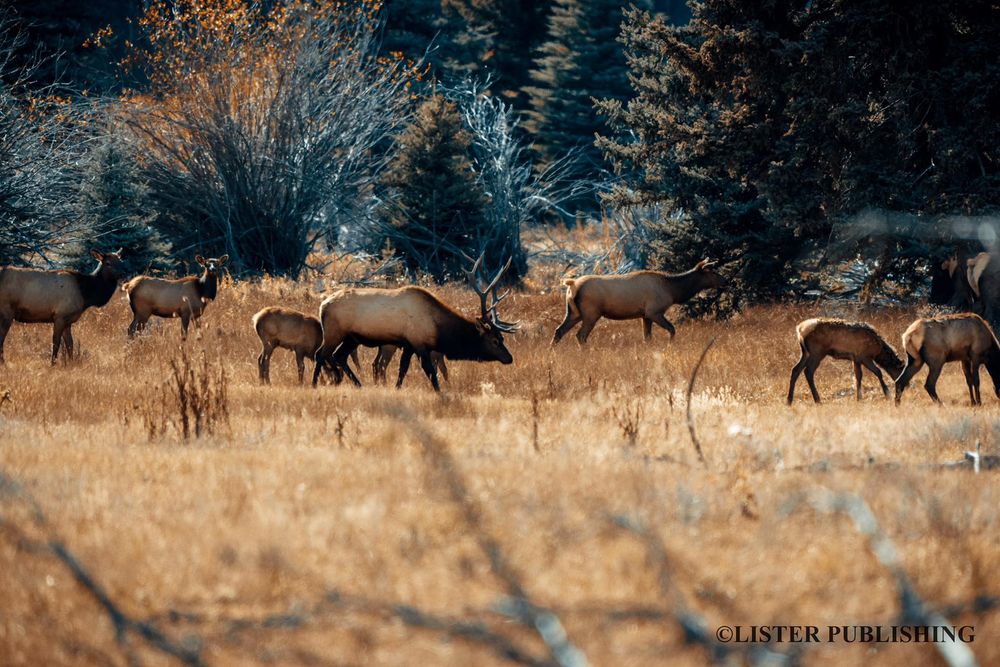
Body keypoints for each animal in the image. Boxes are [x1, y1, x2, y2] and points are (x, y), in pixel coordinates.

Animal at [312, 255, 518, 391]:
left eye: (502, 338)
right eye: (494, 340)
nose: (509, 358)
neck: (438, 328)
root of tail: (323, 305)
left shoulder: (408, 345)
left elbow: (402, 370)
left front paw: (397, 388)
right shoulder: (419, 344)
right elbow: (431, 373)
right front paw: (440, 394)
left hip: (352, 338)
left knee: (339, 356)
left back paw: (358, 384)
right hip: (335, 332)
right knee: (321, 354)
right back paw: (315, 384)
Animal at [551, 259, 725, 345]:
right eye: (713, 272)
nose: (726, 281)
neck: (673, 291)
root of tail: (571, 285)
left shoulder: (645, 315)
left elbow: (647, 337)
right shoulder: (654, 311)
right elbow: (672, 329)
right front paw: (670, 345)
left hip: (573, 312)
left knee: (559, 330)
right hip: (591, 313)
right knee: (580, 335)